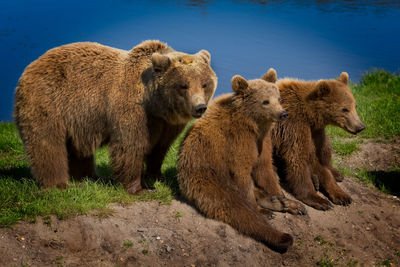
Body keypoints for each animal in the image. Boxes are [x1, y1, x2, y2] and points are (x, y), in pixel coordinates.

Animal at [14, 40, 216, 195]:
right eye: (183, 85)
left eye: (204, 84)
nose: (200, 107)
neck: (155, 104)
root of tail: (32, 64)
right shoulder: (133, 109)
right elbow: (130, 145)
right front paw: (140, 188)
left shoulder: (167, 123)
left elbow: (160, 148)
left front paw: (157, 176)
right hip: (48, 100)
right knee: (48, 143)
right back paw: (58, 184)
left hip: (77, 118)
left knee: (78, 148)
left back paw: (90, 176)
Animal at [177, 69, 304, 253]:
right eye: (265, 101)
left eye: (278, 98)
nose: (283, 113)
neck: (254, 123)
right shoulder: (237, 140)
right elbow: (242, 173)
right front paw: (261, 209)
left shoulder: (263, 141)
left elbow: (265, 169)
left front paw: (282, 197)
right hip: (206, 178)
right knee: (235, 208)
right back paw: (280, 234)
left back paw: (282, 203)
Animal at [272, 73, 366, 211]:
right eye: (344, 109)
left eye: (355, 106)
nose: (360, 127)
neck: (309, 114)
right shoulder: (293, 124)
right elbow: (298, 158)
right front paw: (319, 200)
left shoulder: (315, 131)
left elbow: (318, 155)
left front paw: (341, 194)